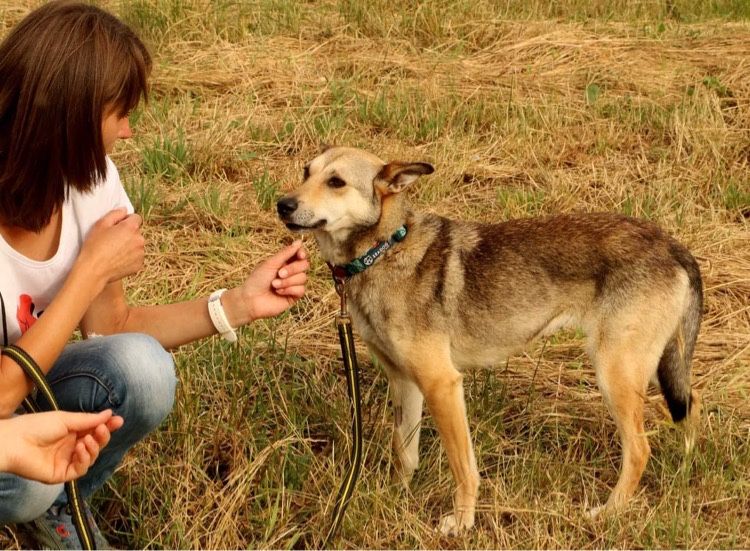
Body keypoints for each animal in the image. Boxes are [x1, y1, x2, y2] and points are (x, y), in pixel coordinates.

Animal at [276, 147, 704, 536]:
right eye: (306, 171)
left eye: (336, 182)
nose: (283, 204)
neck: (384, 250)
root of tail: (672, 246)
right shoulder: (405, 382)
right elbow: (404, 452)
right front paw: (395, 496)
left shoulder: (442, 385)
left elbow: (463, 467)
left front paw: (462, 523)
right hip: (651, 366)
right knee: (692, 404)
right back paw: (685, 469)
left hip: (616, 374)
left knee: (640, 450)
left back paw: (609, 512)